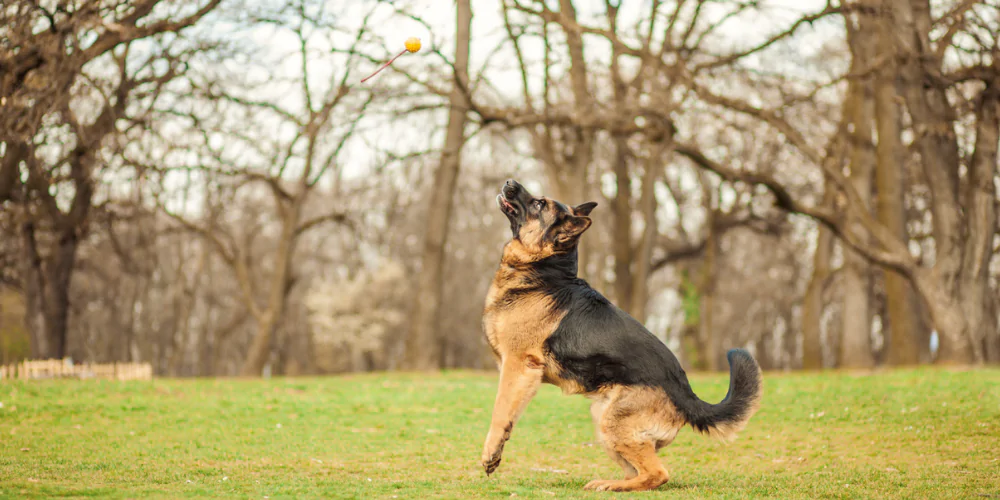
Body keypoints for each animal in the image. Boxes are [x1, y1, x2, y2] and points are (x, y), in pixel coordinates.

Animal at [480, 180, 760, 492]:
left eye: (539, 204)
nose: (510, 182)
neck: (546, 270)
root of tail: (686, 393)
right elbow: (508, 415)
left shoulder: (518, 365)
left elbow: (499, 411)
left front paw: (490, 452)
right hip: (604, 419)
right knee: (634, 472)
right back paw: (608, 482)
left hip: (613, 423)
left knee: (657, 474)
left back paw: (612, 485)